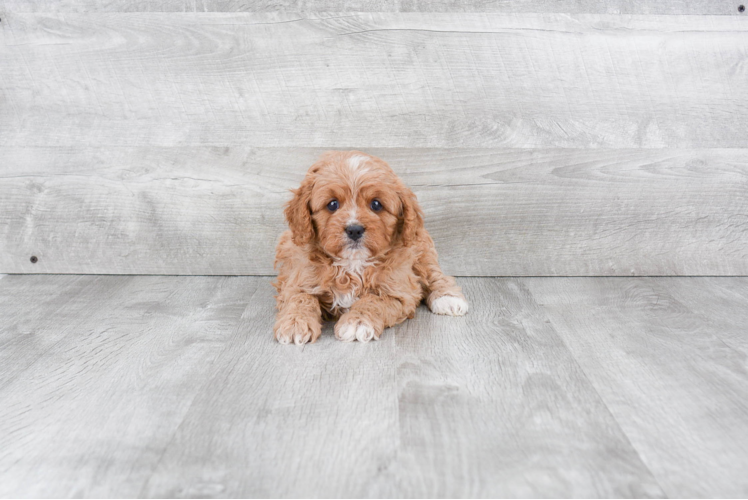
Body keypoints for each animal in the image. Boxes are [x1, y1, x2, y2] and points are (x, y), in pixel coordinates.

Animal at [272, 150, 464, 344]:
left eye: (376, 204)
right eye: (332, 204)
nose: (354, 230)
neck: (352, 264)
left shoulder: (399, 292)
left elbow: (372, 301)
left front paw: (357, 322)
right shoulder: (297, 279)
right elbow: (300, 297)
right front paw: (295, 323)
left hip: (422, 250)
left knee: (435, 275)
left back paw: (448, 299)